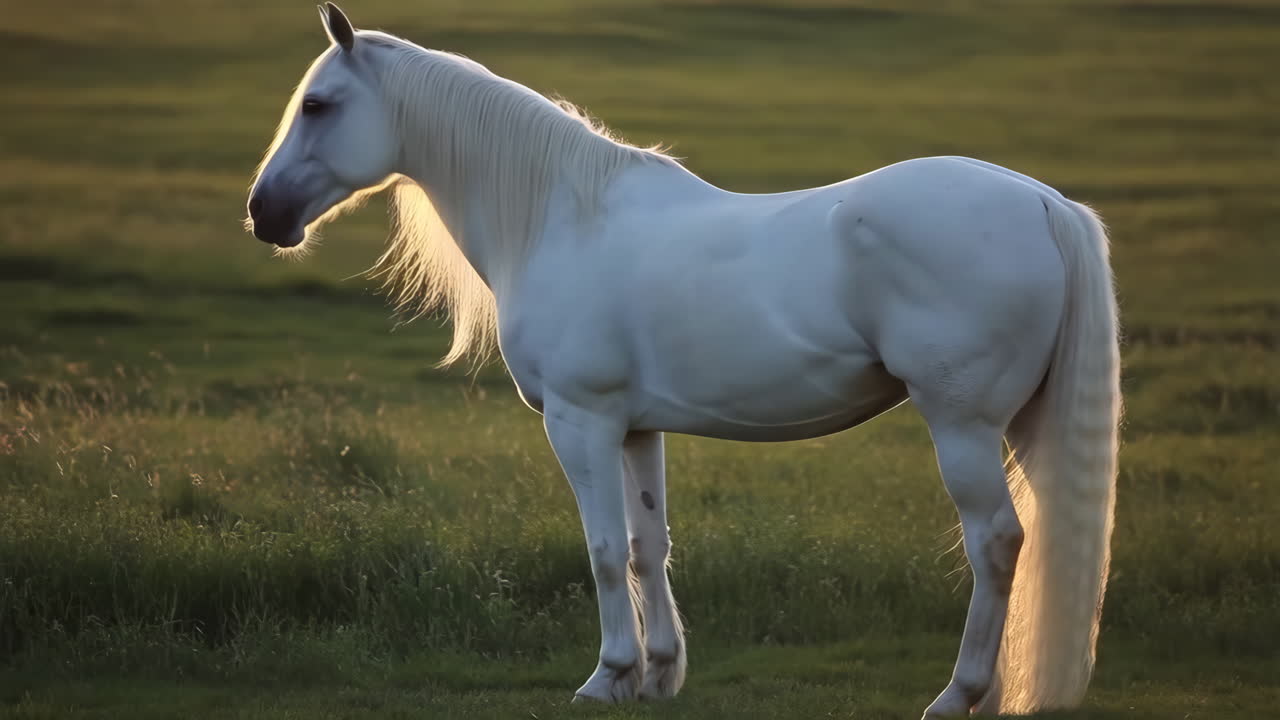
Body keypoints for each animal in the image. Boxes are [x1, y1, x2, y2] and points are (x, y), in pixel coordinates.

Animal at [246, 5, 1121, 717]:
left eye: (318, 105)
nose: (264, 214)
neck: (564, 220)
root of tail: (1042, 202)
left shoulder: (580, 423)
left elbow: (603, 552)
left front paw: (607, 677)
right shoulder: (636, 429)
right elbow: (646, 547)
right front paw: (659, 674)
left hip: (963, 426)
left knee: (997, 542)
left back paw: (957, 695)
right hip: (1020, 426)